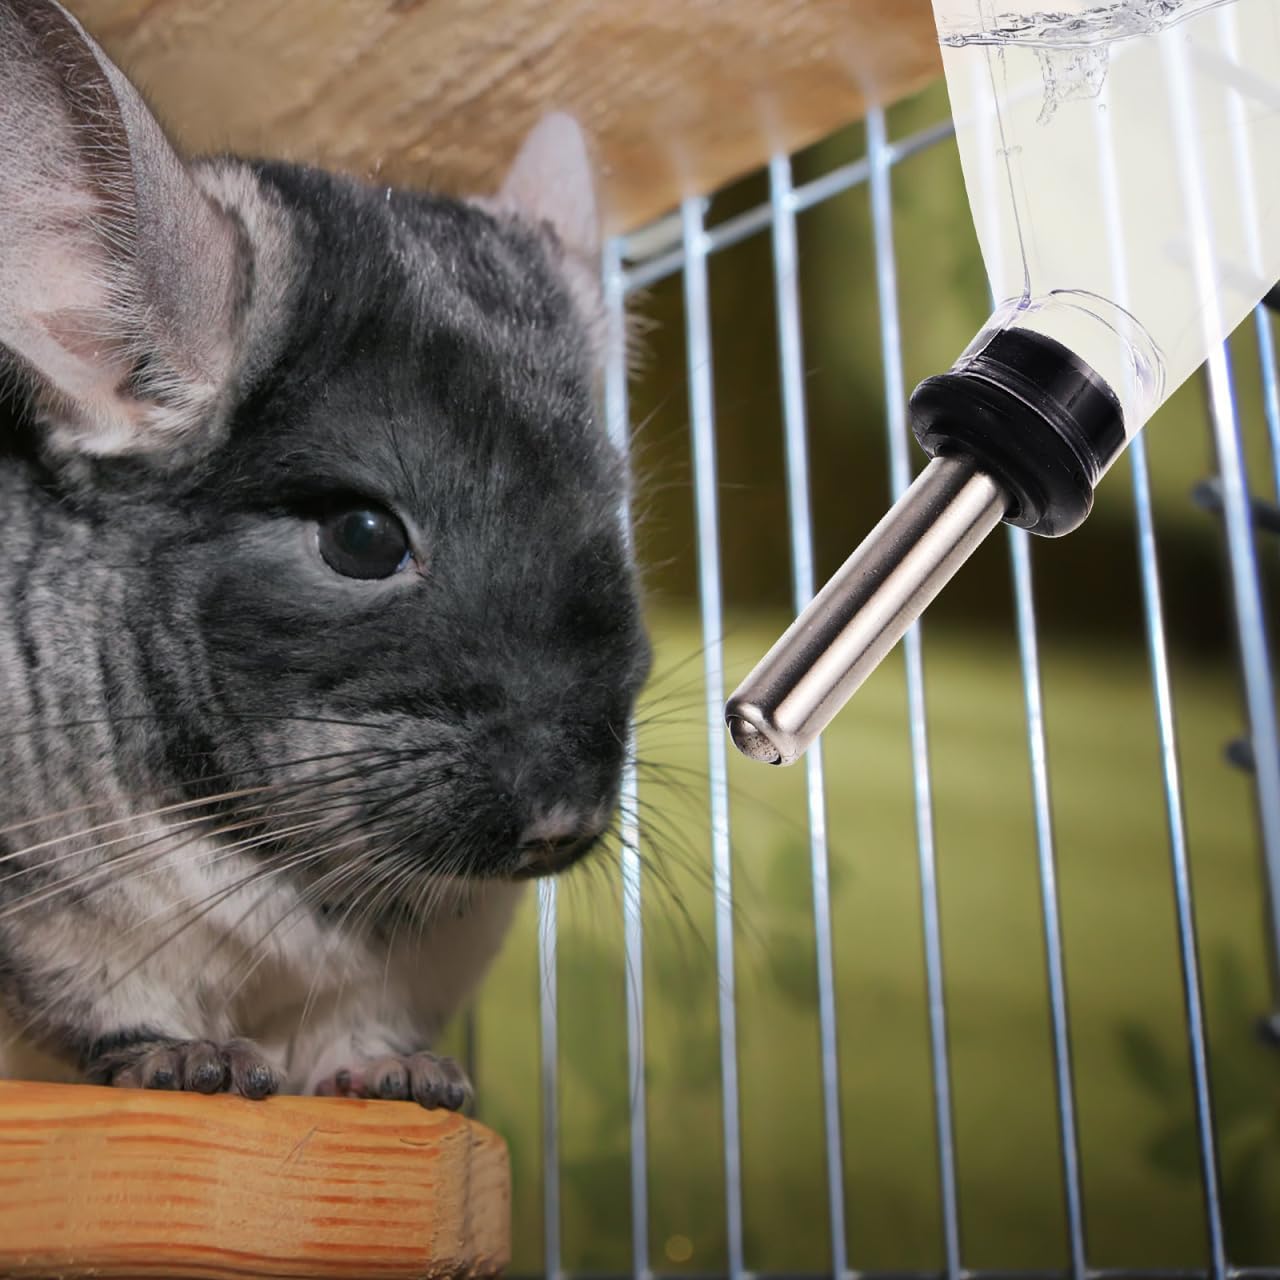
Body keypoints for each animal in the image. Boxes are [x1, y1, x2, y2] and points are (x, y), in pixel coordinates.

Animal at [0, 0, 649, 1108]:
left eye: (611, 515)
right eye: (363, 538)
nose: (564, 818)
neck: (286, 860)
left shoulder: (417, 967)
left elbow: (362, 1032)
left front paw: (410, 1081)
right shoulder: (61, 923)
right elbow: (118, 1003)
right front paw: (198, 1064)